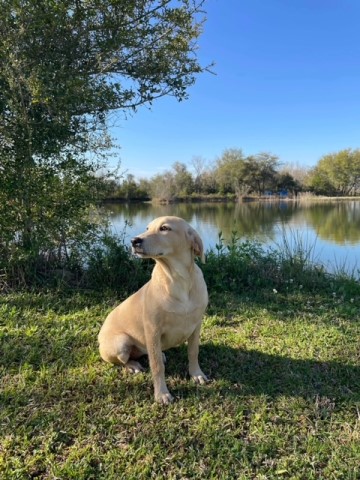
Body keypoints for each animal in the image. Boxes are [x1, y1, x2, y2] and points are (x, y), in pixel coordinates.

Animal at [98, 216, 210, 404]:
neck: (178, 280)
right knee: (124, 360)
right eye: (147, 228)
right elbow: (156, 366)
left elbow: (193, 352)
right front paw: (162, 394)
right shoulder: (152, 330)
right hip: (121, 343)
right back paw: (133, 366)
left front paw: (196, 374)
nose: (134, 241)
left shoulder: (196, 326)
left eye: (164, 228)